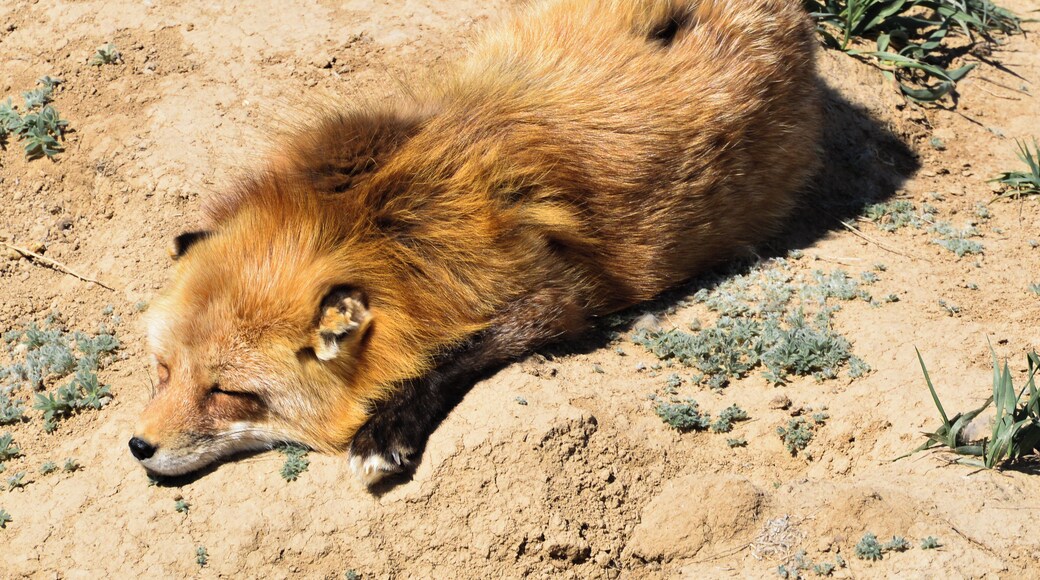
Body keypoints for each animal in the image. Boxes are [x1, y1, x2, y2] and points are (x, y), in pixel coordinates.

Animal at [130, 0, 821, 486]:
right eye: (163, 370)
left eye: (228, 393)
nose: (139, 446)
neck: (386, 225)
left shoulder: (557, 294)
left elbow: (460, 351)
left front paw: (386, 428)